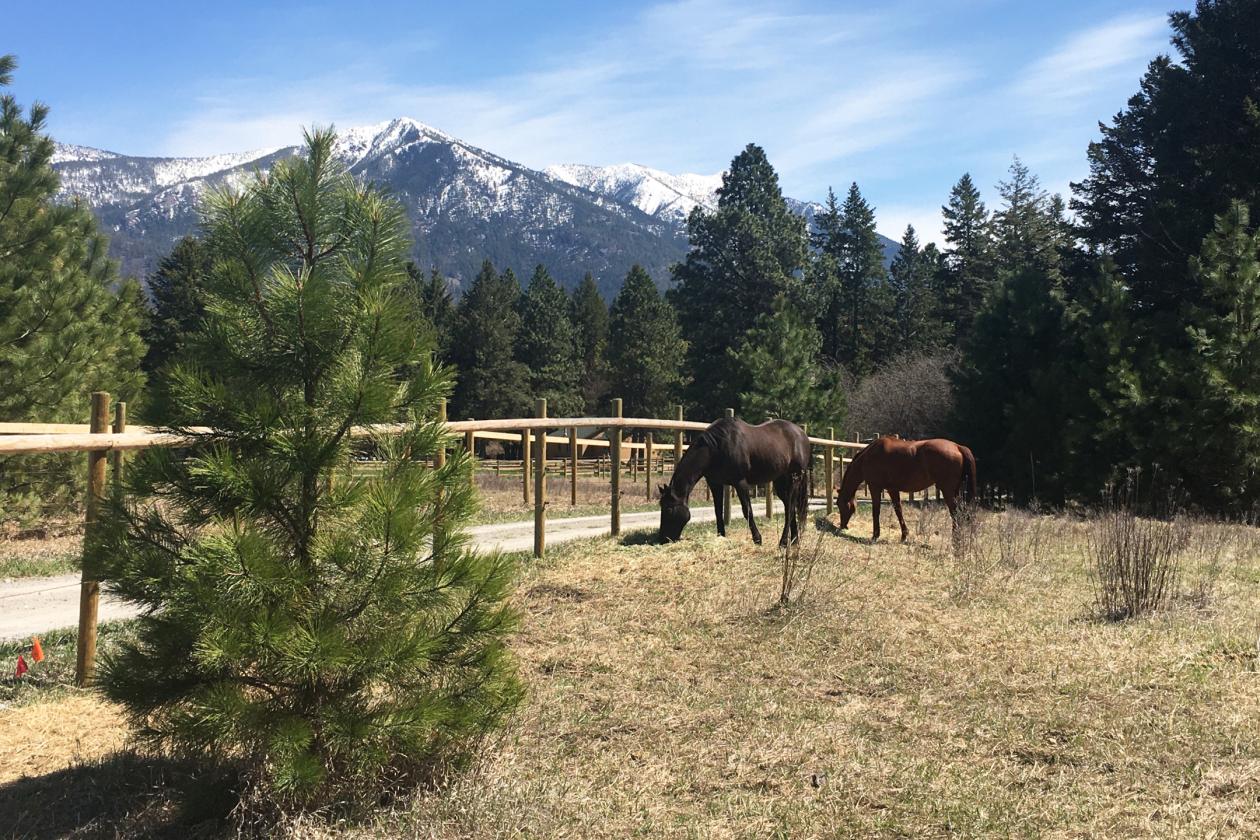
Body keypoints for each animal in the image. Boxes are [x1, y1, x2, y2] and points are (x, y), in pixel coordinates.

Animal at [659, 417, 810, 546]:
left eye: (669, 509)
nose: (663, 538)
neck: (716, 448)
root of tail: (801, 433)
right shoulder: (715, 484)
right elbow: (717, 510)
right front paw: (721, 535)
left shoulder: (740, 483)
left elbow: (747, 510)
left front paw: (757, 539)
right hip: (781, 482)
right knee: (790, 507)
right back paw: (794, 540)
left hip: (795, 479)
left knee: (790, 507)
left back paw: (783, 542)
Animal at [837, 436, 977, 541]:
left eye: (839, 504)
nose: (842, 526)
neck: (869, 456)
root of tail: (957, 447)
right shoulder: (892, 489)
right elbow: (898, 510)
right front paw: (904, 535)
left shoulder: (875, 487)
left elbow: (876, 511)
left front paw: (875, 535)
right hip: (957, 491)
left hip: (948, 491)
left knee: (955, 513)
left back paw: (955, 541)